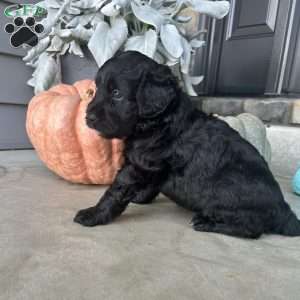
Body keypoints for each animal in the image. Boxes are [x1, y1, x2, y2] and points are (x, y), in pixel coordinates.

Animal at [73, 51, 300, 239]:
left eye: (117, 93)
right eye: (95, 90)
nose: (88, 117)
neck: (158, 120)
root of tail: (283, 209)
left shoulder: (139, 165)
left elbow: (116, 191)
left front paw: (93, 214)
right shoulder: (152, 167)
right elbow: (151, 185)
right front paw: (140, 197)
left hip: (229, 195)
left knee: (251, 228)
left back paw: (207, 223)